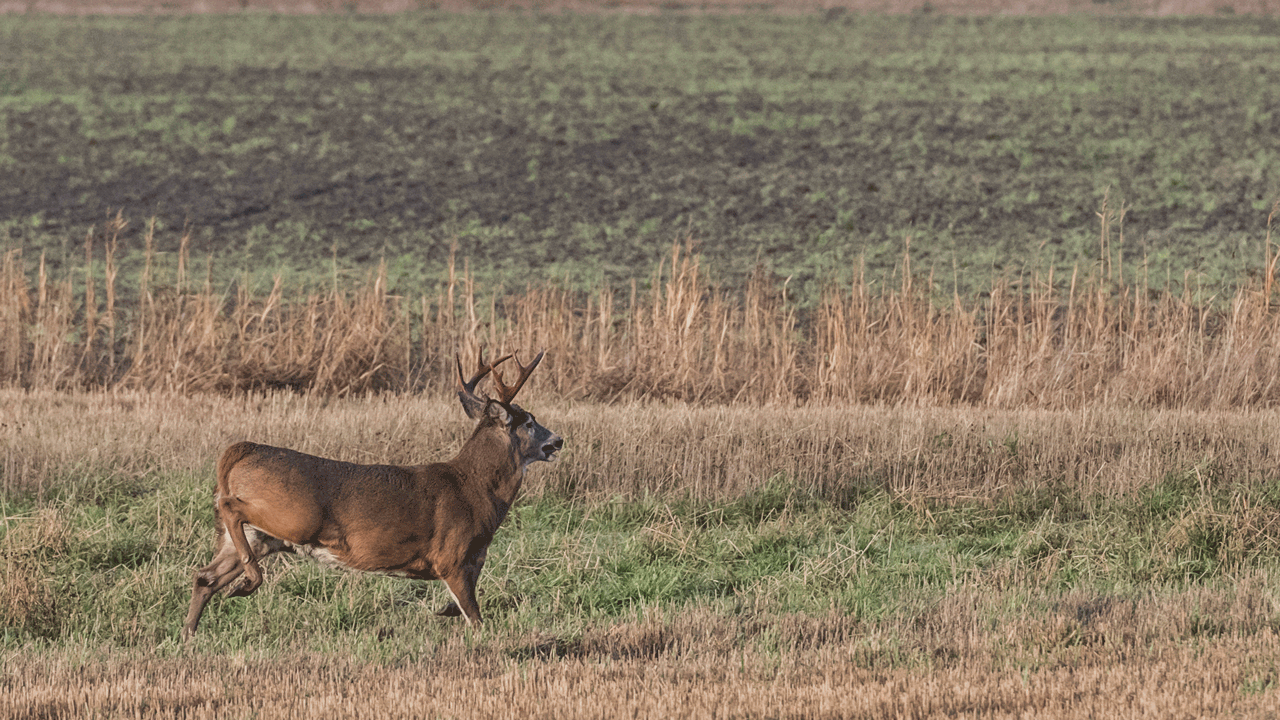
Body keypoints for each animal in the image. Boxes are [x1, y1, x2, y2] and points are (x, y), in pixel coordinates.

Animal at [181, 351, 560, 635]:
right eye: (529, 421)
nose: (558, 440)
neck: (474, 489)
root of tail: (239, 451)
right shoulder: (451, 557)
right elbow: (476, 618)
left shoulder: (472, 559)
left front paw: (444, 611)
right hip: (294, 516)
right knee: (230, 508)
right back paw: (249, 581)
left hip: (261, 536)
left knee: (205, 576)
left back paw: (190, 632)